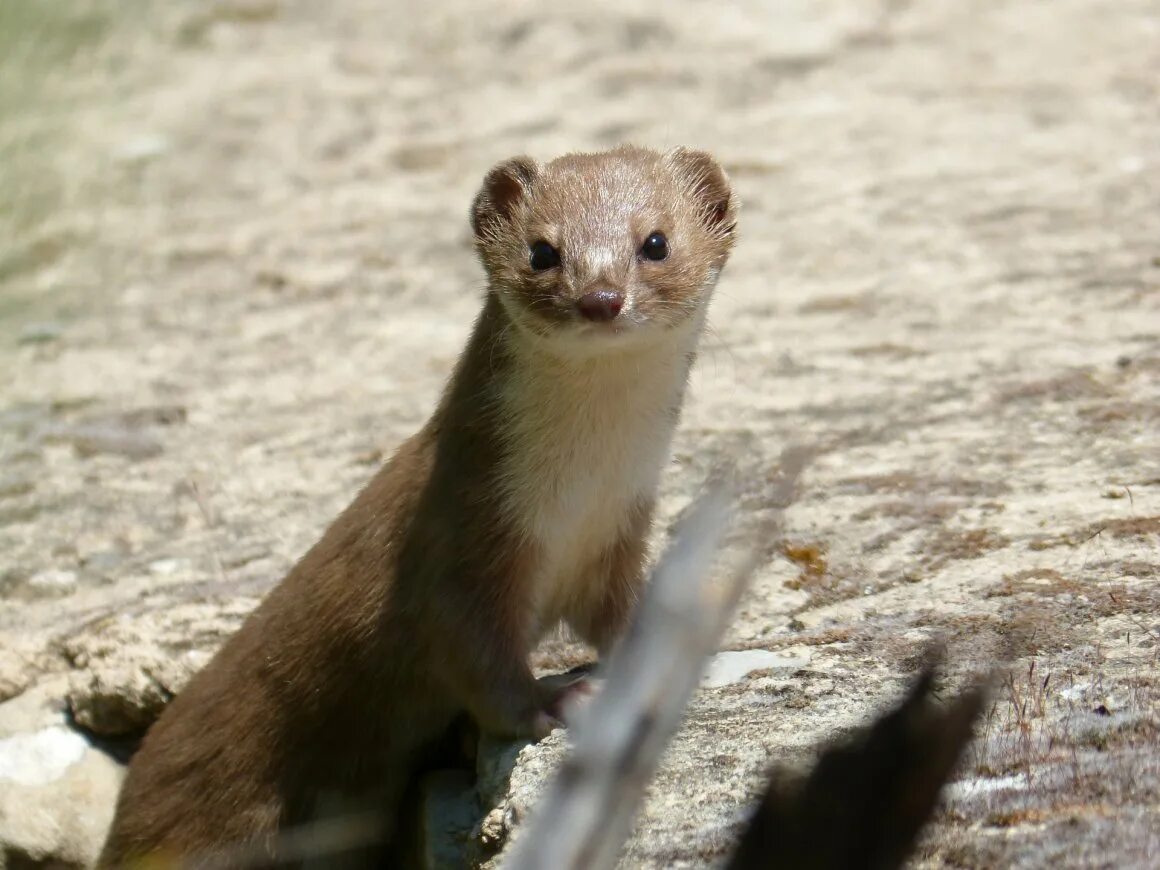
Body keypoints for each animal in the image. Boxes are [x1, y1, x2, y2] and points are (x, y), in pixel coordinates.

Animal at [99, 146, 733, 867]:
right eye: (543, 251)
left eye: (655, 242)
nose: (600, 298)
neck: (579, 488)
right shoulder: (459, 537)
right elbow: (475, 658)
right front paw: (556, 698)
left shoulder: (618, 529)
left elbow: (620, 615)